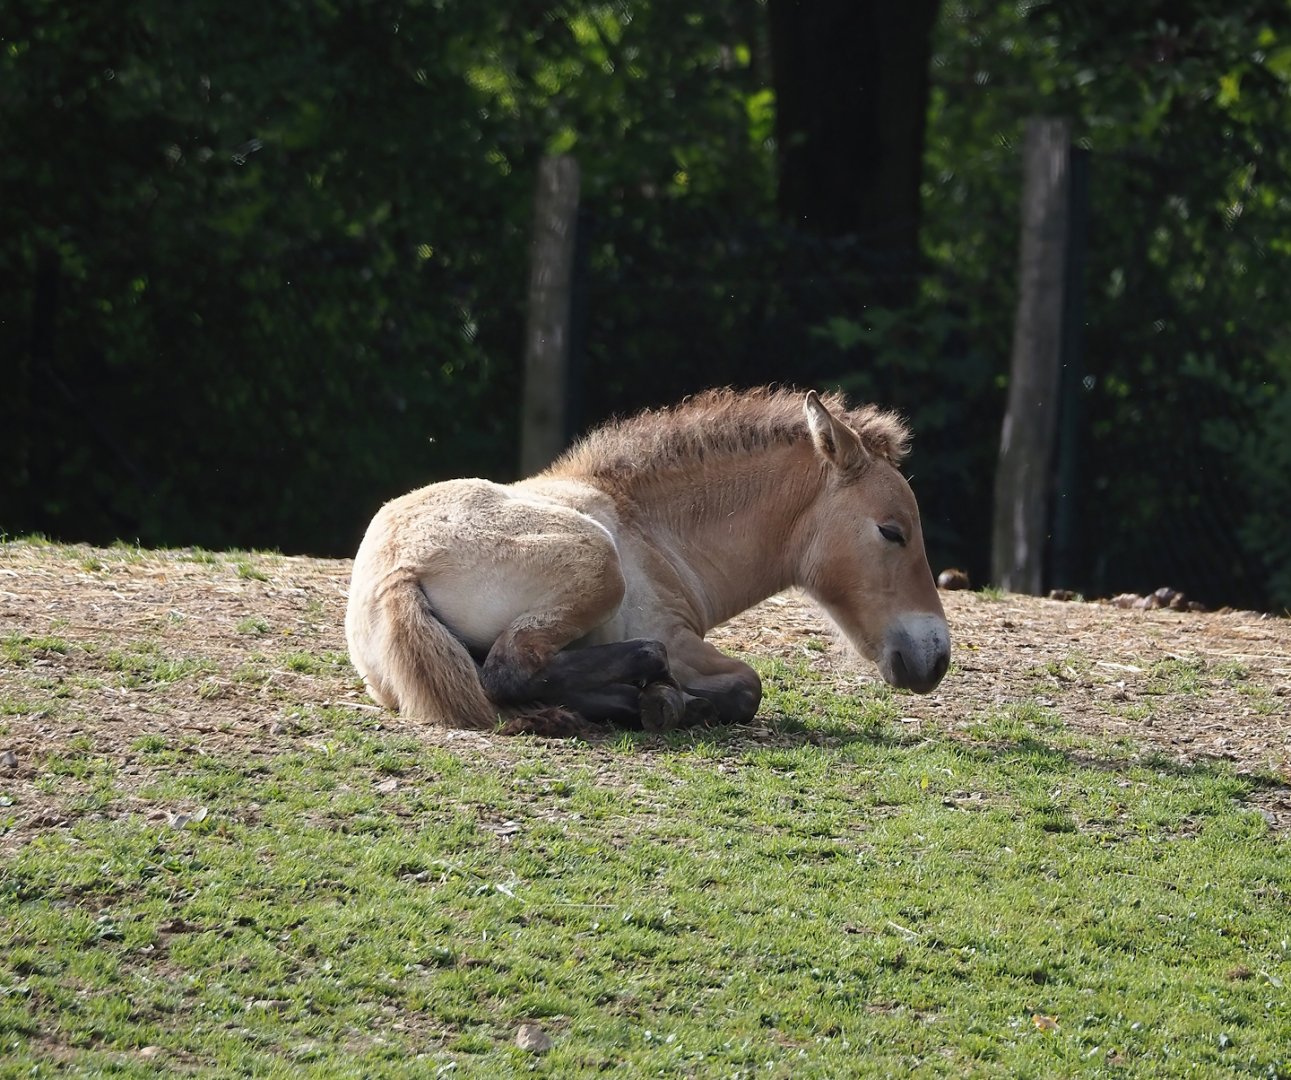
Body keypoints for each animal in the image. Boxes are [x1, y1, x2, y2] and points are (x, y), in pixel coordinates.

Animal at [345, 387, 951, 735]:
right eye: (892, 532)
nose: (937, 656)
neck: (652, 532)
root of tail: (397, 570)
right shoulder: (675, 635)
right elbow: (748, 685)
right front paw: (674, 701)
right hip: (598, 566)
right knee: (510, 670)